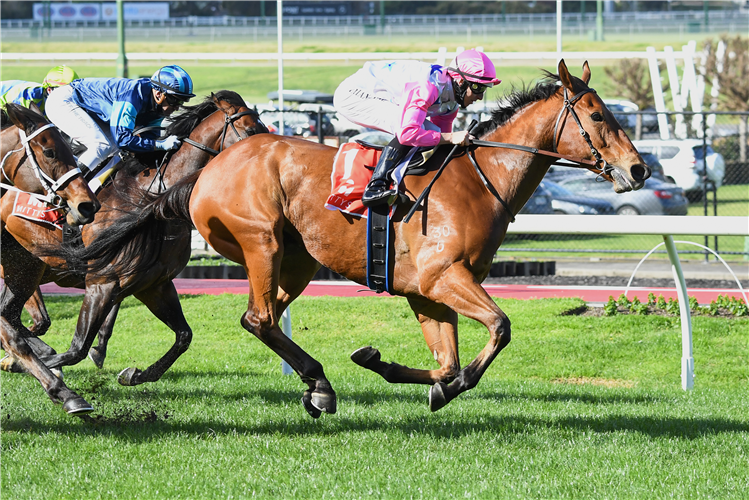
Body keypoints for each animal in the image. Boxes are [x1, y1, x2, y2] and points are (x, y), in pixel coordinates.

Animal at [58, 60, 648, 416]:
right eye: (598, 114)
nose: (638, 170)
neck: (478, 182)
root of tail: (210, 167)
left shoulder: (427, 291)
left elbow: (447, 360)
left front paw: (391, 367)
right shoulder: (443, 277)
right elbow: (499, 329)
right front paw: (446, 388)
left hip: (296, 261)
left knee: (261, 318)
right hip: (262, 243)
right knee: (258, 317)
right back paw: (319, 385)